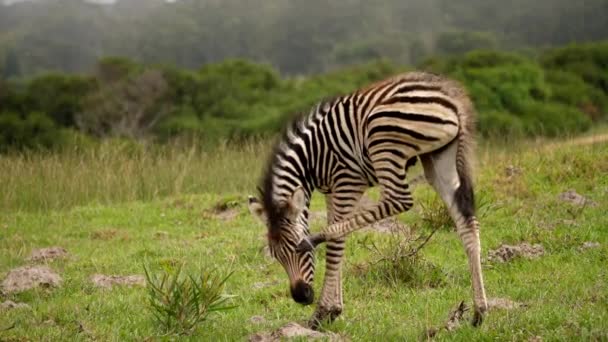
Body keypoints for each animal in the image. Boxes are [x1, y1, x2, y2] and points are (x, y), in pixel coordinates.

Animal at [247, 71, 490, 328]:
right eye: (276, 256)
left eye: (298, 251)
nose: (302, 297)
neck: (311, 159)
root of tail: (451, 94)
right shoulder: (331, 190)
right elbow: (339, 240)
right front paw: (333, 309)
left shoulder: (347, 181)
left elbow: (336, 242)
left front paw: (323, 311)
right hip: (440, 156)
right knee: (466, 221)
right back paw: (479, 312)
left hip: (383, 138)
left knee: (399, 199)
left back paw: (316, 237)